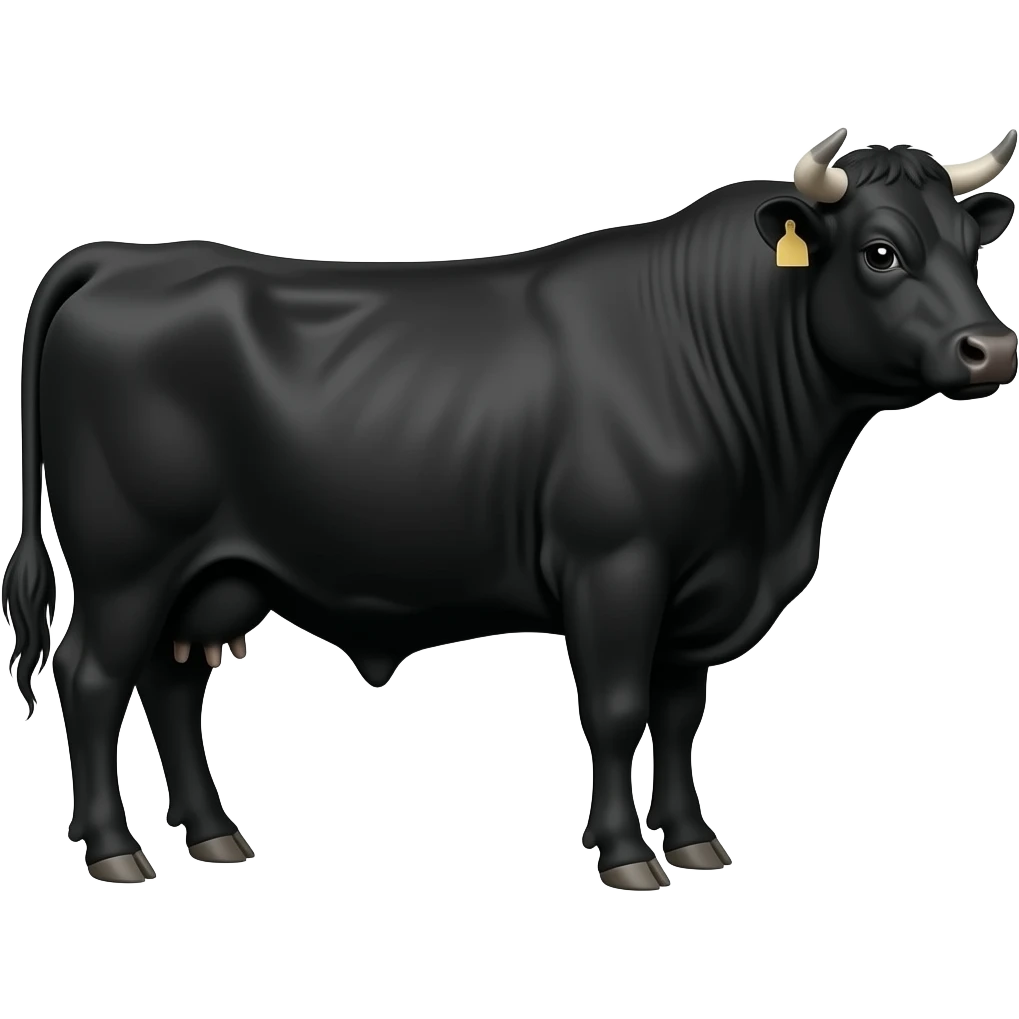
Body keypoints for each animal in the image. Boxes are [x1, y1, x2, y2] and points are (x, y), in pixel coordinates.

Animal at [4, 128, 1016, 889]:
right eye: (881, 252)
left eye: (971, 251)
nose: (991, 348)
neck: (772, 501)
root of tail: (123, 257)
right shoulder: (615, 567)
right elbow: (615, 710)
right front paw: (626, 856)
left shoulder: (697, 586)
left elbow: (678, 713)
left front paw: (694, 841)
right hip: (124, 564)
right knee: (90, 677)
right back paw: (116, 853)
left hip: (212, 576)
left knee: (171, 685)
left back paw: (216, 834)